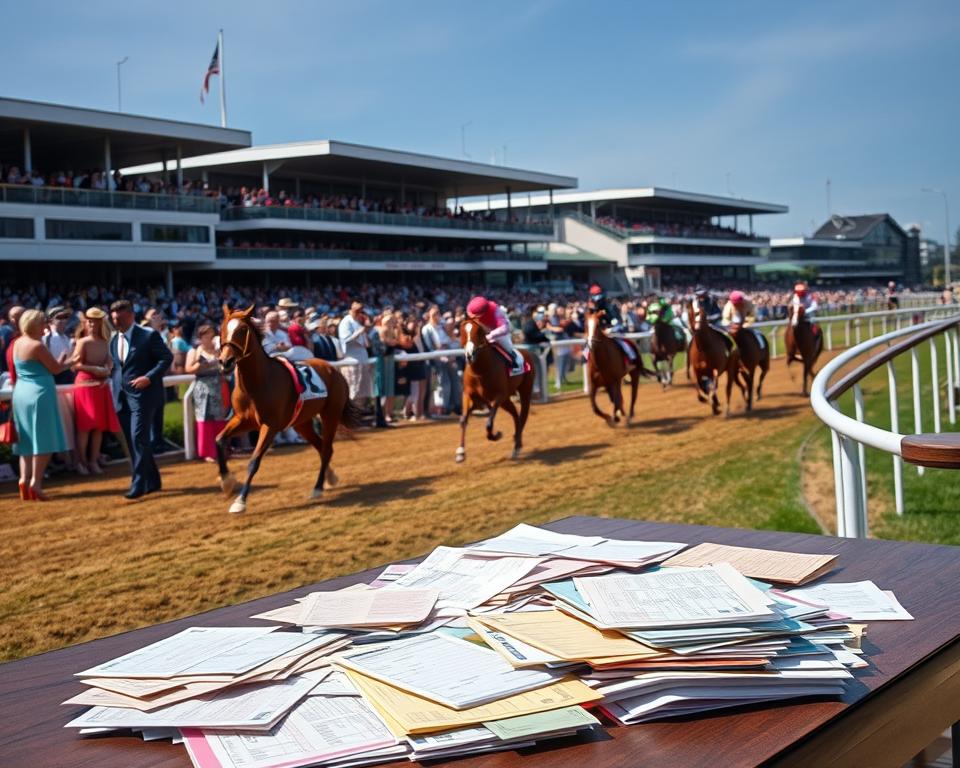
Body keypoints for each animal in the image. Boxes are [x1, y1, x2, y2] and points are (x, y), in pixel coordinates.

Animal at [215, 304, 364, 512]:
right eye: (222, 328)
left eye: (242, 330)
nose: (225, 362)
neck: (258, 382)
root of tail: (334, 370)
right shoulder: (243, 420)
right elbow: (219, 440)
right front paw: (227, 481)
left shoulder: (270, 426)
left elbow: (254, 462)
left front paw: (240, 501)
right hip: (301, 423)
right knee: (321, 446)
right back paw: (329, 477)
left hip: (330, 415)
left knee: (326, 448)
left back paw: (318, 487)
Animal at [456, 318, 532, 462]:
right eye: (462, 332)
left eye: (479, 332)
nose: (469, 354)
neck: (480, 371)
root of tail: (527, 353)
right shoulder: (470, 396)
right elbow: (463, 420)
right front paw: (460, 452)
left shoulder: (498, 397)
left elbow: (489, 423)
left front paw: (496, 435)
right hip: (506, 400)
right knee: (515, 415)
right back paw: (516, 442)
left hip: (524, 391)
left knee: (522, 415)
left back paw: (517, 446)